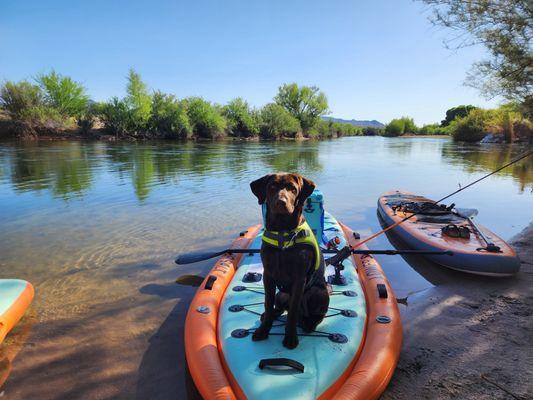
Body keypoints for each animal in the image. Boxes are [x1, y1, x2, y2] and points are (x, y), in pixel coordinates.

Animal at [249, 173, 328, 348]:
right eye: (272, 186)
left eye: (292, 188)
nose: (281, 202)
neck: (282, 232)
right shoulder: (268, 275)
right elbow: (268, 303)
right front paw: (263, 330)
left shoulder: (299, 278)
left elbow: (292, 311)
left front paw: (291, 337)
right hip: (281, 294)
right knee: (278, 307)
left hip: (318, 292)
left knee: (311, 314)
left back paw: (308, 323)